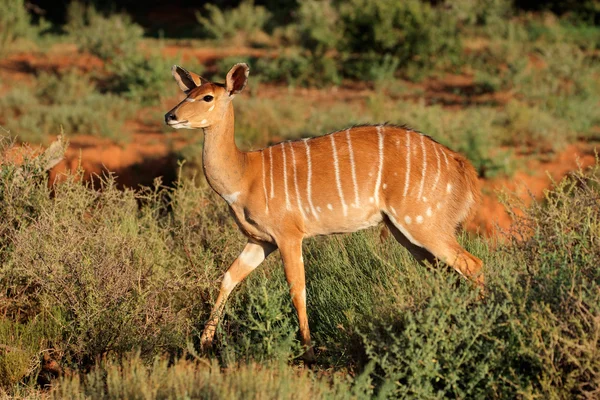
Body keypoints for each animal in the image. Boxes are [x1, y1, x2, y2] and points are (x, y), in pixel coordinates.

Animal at [166, 63, 486, 362]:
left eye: (207, 97)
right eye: (188, 92)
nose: (170, 116)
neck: (245, 175)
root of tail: (462, 166)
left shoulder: (289, 235)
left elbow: (297, 289)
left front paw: (308, 353)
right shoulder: (260, 241)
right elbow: (228, 278)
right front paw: (204, 344)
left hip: (422, 223)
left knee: (473, 265)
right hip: (406, 232)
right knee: (448, 273)